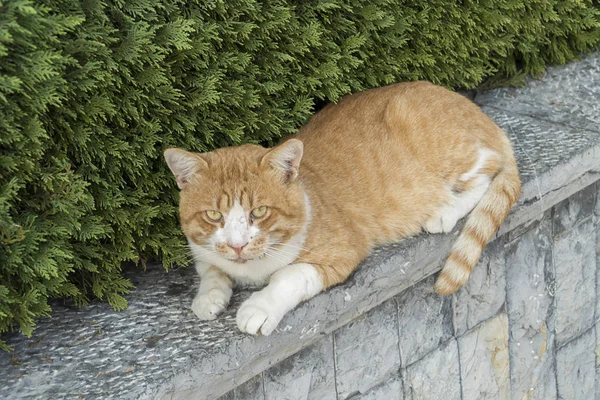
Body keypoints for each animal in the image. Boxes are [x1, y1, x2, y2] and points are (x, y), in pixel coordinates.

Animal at [163, 81, 520, 338]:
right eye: (214, 215)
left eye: (260, 211)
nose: (237, 245)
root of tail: (480, 113)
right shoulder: (203, 251)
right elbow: (211, 271)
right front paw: (208, 296)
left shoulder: (340, 252)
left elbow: (287, 276)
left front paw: (259, 307)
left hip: (445, 145)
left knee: (489, 169)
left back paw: (444, 210)